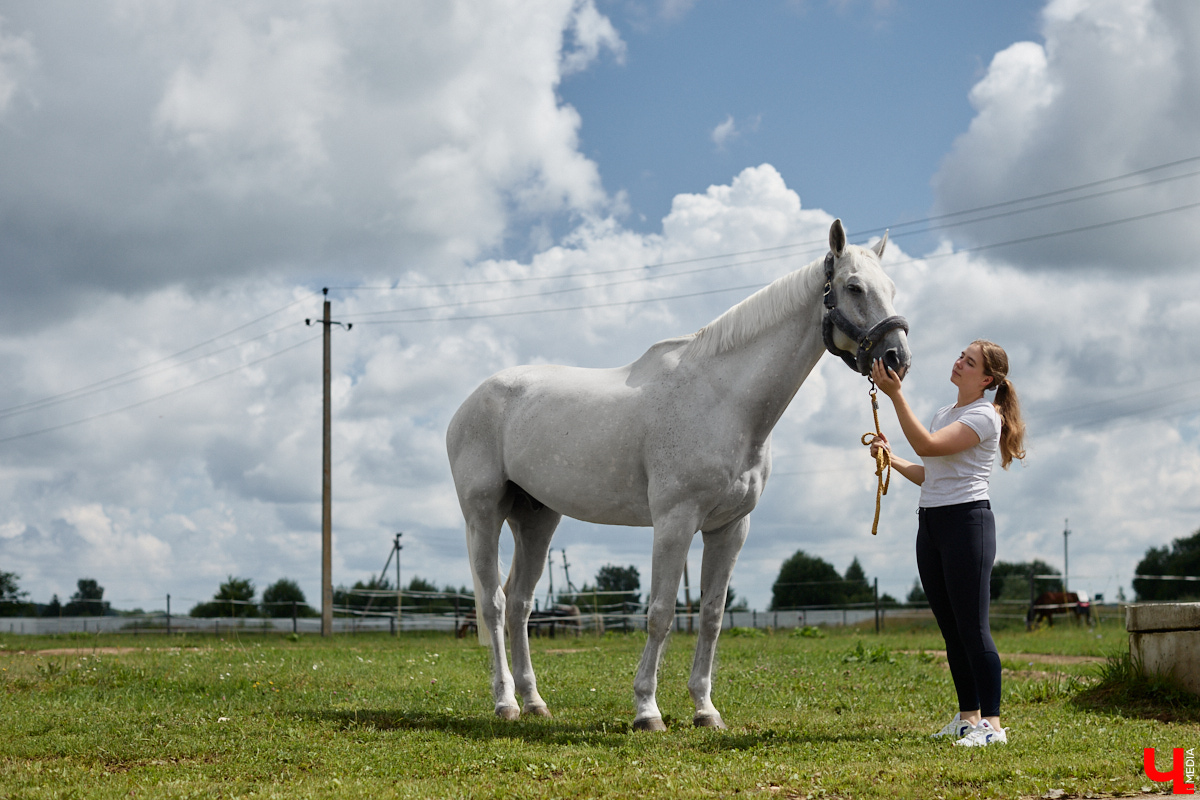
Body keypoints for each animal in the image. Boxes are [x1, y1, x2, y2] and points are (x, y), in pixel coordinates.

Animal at [446, 219, 911, 730]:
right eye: (853, 287)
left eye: (891, 288)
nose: (897, 359)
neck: (724, 399)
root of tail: (471, 402)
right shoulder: (675, 521)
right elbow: (662, 613)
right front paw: (647, 710)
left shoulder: (730, 528)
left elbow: (711, 616)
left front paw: (705, 709)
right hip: (484, 514)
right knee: (494, 603)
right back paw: (505, 702)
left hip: (536, 518)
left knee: (520, 604)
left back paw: (534, 701)